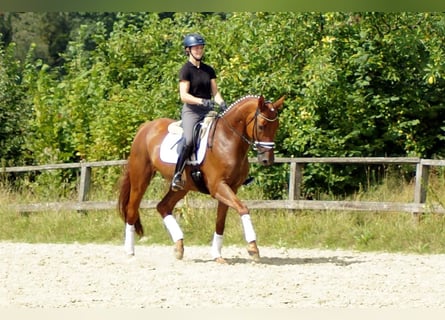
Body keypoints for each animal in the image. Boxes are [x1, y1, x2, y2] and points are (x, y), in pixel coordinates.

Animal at [118, 94, 284, 262]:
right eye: (262, 126)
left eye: (277, 126)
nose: (267, 160)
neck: (227, 140)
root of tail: (145, 127)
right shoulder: (218, 187)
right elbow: (243, 208)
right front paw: (253, 248)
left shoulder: (231, 188)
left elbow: (220, 222)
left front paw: (217, 255)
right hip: (141, 178)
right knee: (132, 209)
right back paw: (129, 251)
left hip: (182, 187)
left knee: (163, 206)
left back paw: (179, 246)